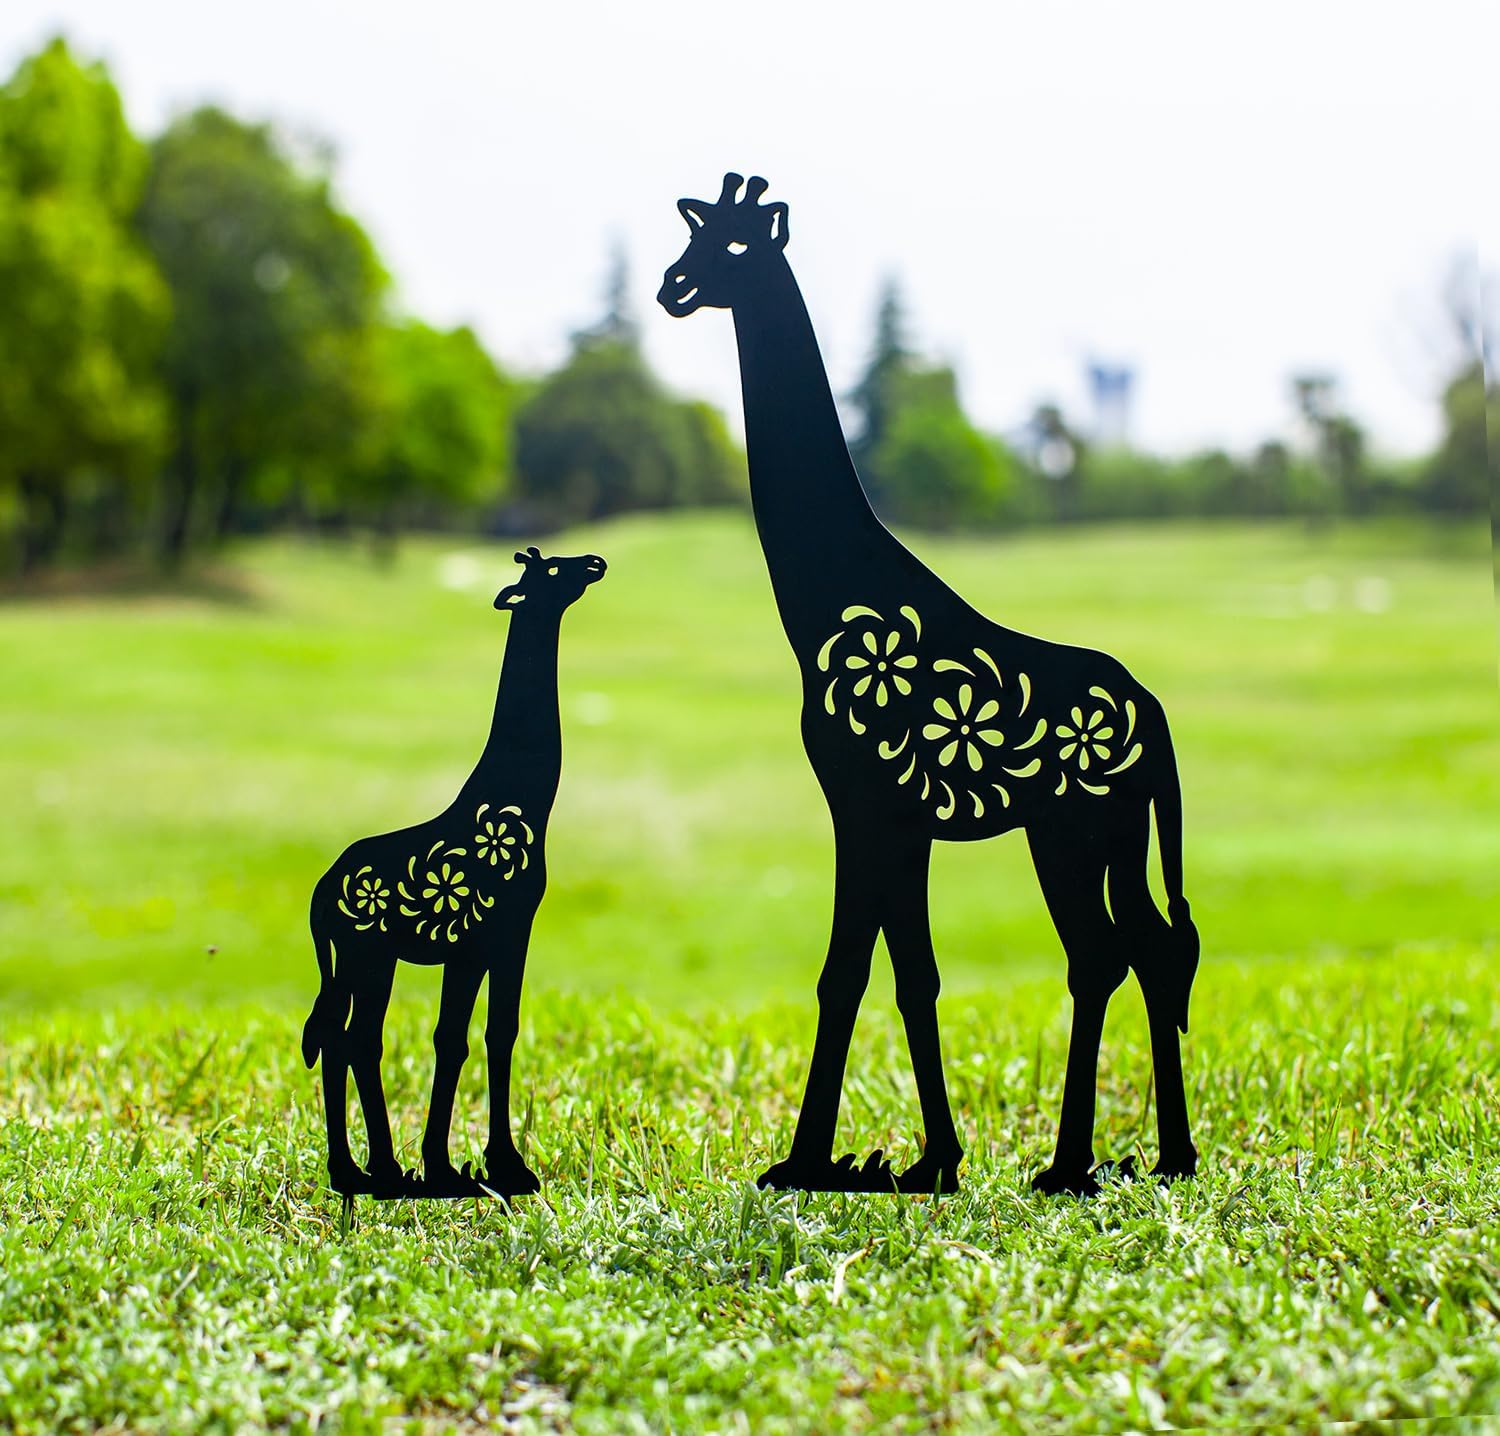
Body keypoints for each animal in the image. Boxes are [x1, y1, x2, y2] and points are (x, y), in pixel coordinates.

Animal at [302, 547, 607, 1198]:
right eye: (549, 571)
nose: (594, 562)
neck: (523, 803)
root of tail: (319, 895)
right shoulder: (507, 932)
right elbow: (490, 1033)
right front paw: (498, 1167)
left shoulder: (474, 946)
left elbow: (461, 1036)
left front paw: (452, 1166)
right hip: (367, 951)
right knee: (353, 1039)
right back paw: (375, 1171)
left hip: (358, 958)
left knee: (341, 1036)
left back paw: (357, 1170)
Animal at [658, 174, 1200, 1196]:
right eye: (695, 238)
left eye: (737, 248)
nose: (672, 285)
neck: (825, 600)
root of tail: (1154, 719)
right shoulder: (894, 821)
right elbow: (911, 973)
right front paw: (930, 1159)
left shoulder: (866, 807)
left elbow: (849, 973)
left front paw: (809, 1162)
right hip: (1114, 835)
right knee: (1148, 947)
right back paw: (1167, 1157)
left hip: (1071, 833)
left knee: (1103, 955)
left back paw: (1070, 1167)